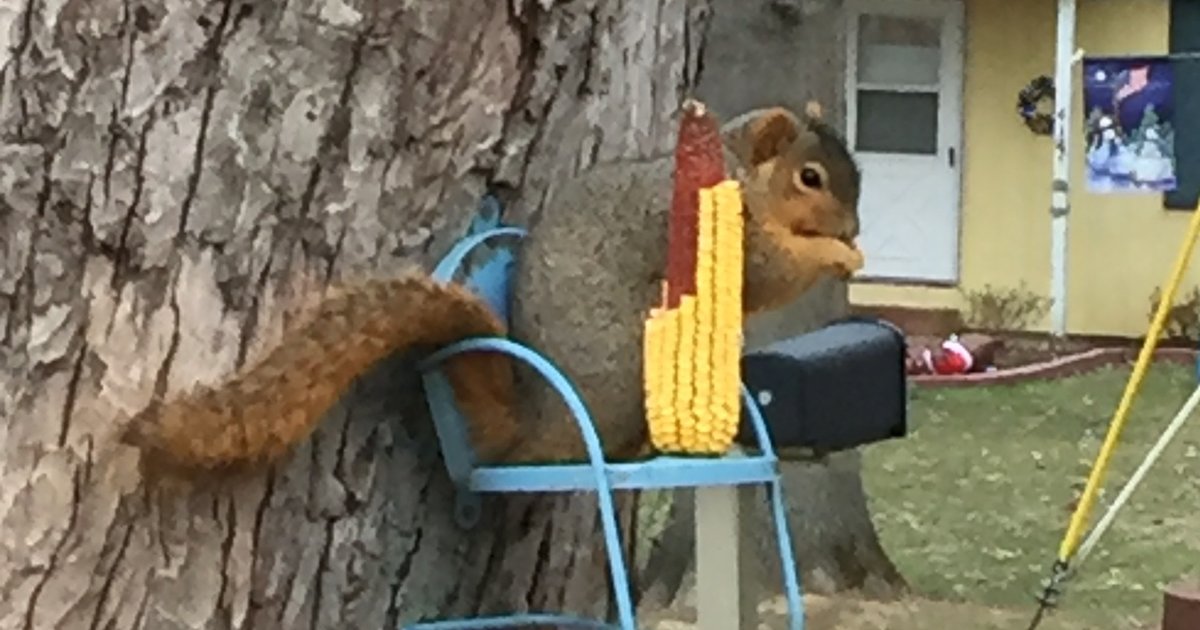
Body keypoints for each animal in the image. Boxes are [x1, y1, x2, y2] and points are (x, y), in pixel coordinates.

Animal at [121, 102, 864, 472]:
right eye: (810, 178)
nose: (856, 225)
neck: (737, 172)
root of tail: (536, 428)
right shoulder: (714, 228)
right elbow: (768, 270)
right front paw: (835, 253)